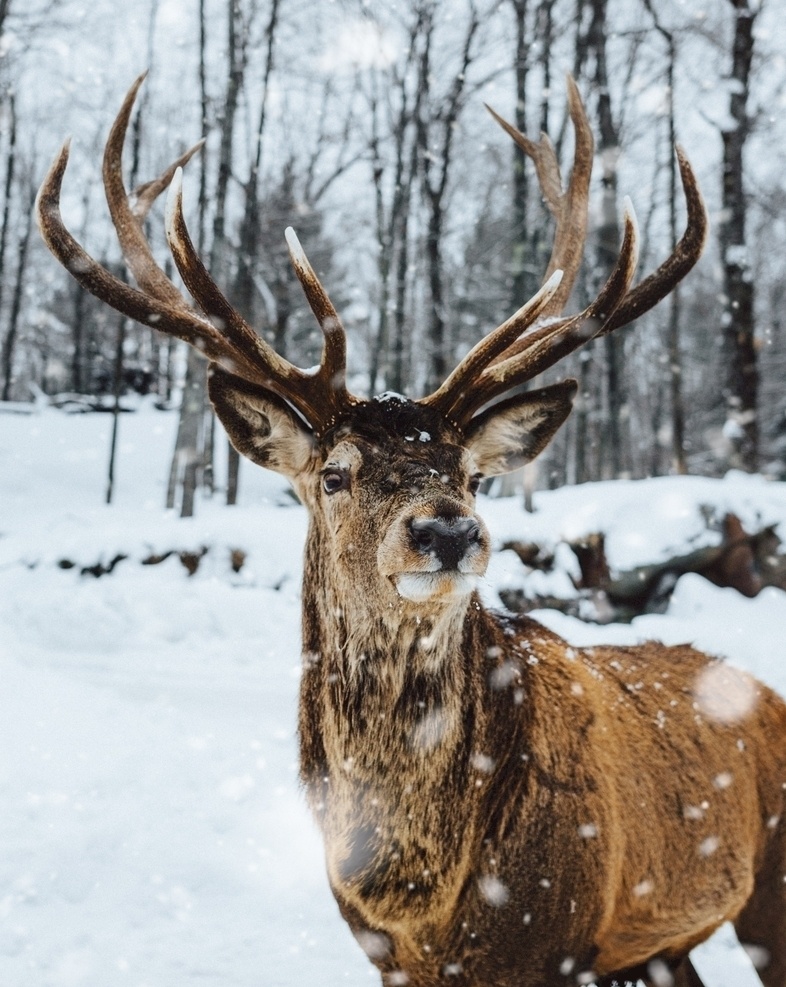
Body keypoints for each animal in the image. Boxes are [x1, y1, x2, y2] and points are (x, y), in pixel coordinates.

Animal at [36, 73, 786, 987]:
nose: (449, 530)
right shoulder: (385, 955)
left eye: (472, 473)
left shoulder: (563, 941)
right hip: (664, 944)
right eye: (334, 473)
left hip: (765, 892)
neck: (422, 899)